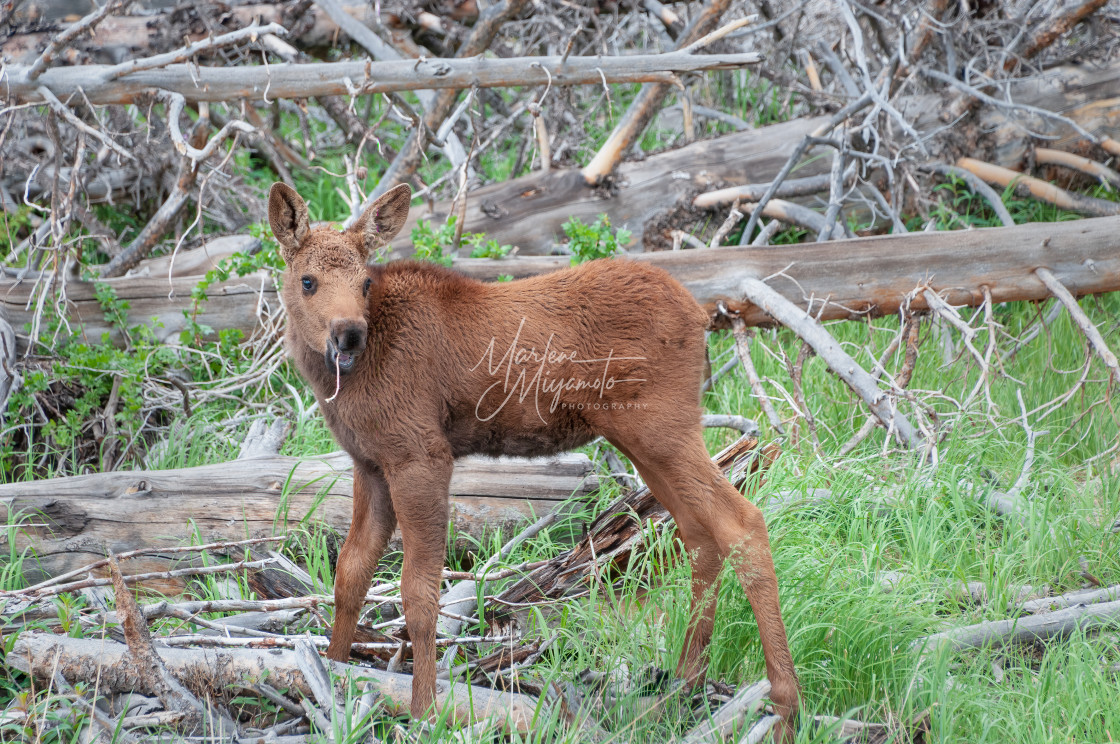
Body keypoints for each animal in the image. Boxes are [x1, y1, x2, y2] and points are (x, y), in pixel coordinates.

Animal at [267, 181, 801, 739]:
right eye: (308, 281)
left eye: (365, 282)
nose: (347, 333)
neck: (344, 384)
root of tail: (701, 315)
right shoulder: (369, 463)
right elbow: (351, 573)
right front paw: (333, 672)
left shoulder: (420, 454)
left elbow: (419, 591)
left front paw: (425, 711)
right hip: (648, 441)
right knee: (699, 534)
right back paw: (683, 685)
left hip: (663, 431)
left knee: (742, 522)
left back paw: (783, 707)